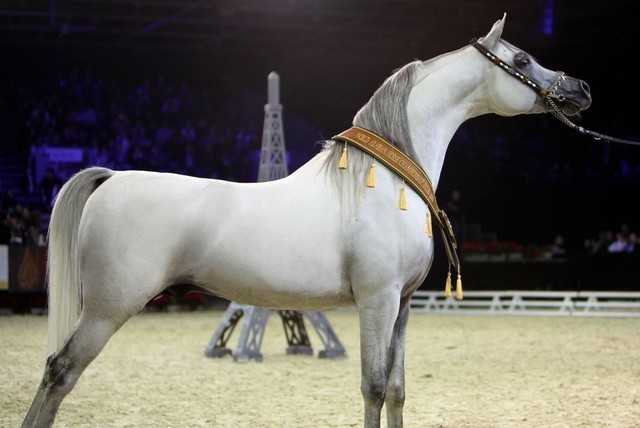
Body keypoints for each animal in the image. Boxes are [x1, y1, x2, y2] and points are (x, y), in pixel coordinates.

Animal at [22, 14, 591, 428]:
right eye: (521, 57)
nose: (581, 88)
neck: (382, 183)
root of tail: (111, 177)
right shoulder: (376, 300)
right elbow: (372, 387)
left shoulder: (403, 305)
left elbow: (398, 390)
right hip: (107, 308)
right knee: (58, 372)